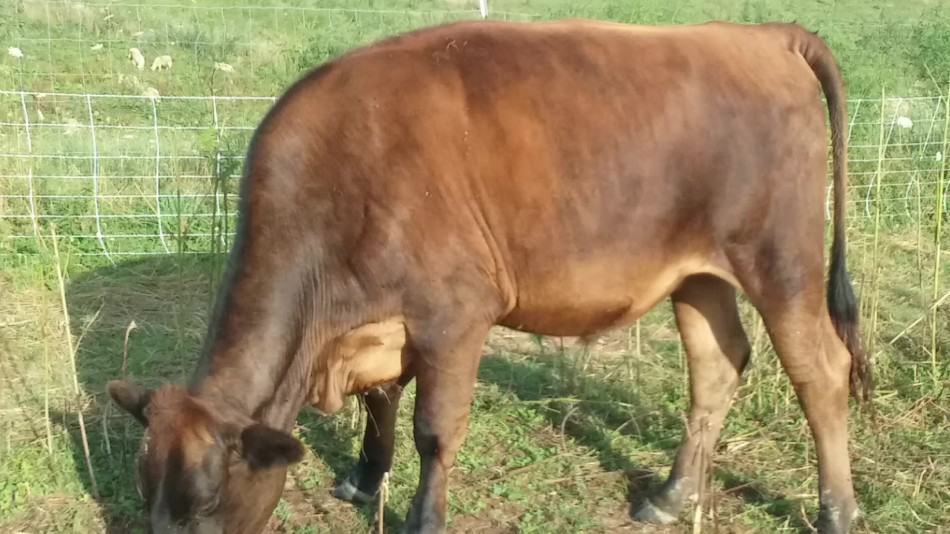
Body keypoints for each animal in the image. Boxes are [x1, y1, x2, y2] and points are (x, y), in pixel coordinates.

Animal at [108, 17, 872, 534]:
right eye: (146, 490)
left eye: (207, 500)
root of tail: (760, 34)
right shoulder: (384, 321)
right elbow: (380, 401)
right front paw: (364, 479)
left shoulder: (454, 315)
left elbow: (435, 428)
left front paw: (423, 516)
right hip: (698, 274)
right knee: (717, 365)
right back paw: (669, 496)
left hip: (780, 257)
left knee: (821, 370)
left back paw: (836, 509)